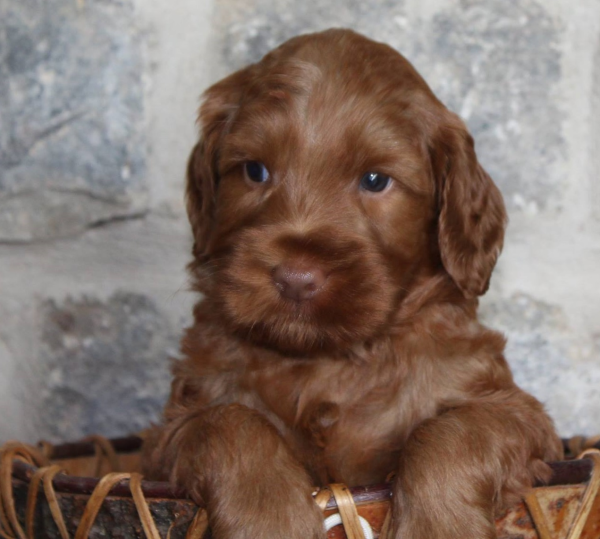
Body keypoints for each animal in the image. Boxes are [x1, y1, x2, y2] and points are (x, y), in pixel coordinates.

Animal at [144, 29, 564, 539]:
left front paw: (439, 526)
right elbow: (229, 423)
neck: (329, 361)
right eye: (254, 171)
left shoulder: (519, 415)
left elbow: (449, 431)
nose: (296, 278)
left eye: (375, 180)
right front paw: (270, 519)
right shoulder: (170, 431)